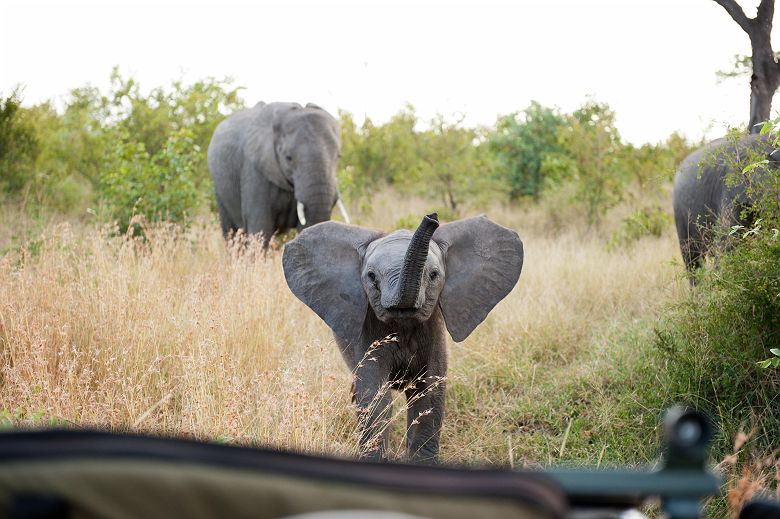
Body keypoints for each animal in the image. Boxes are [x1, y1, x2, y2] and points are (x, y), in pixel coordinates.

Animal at [210, 102, 350, 249]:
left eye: (338, 156)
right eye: (288, 158)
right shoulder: (254, 170)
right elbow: (260, 227)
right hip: (219, 190)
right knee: (231, 233)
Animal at [282, 213, 524, 466]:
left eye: (434, 275)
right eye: (371, 277)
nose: (432, 217)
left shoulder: (433, 329)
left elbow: (429, 393)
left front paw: (422, 464)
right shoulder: (368, 331)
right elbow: (375, 395)